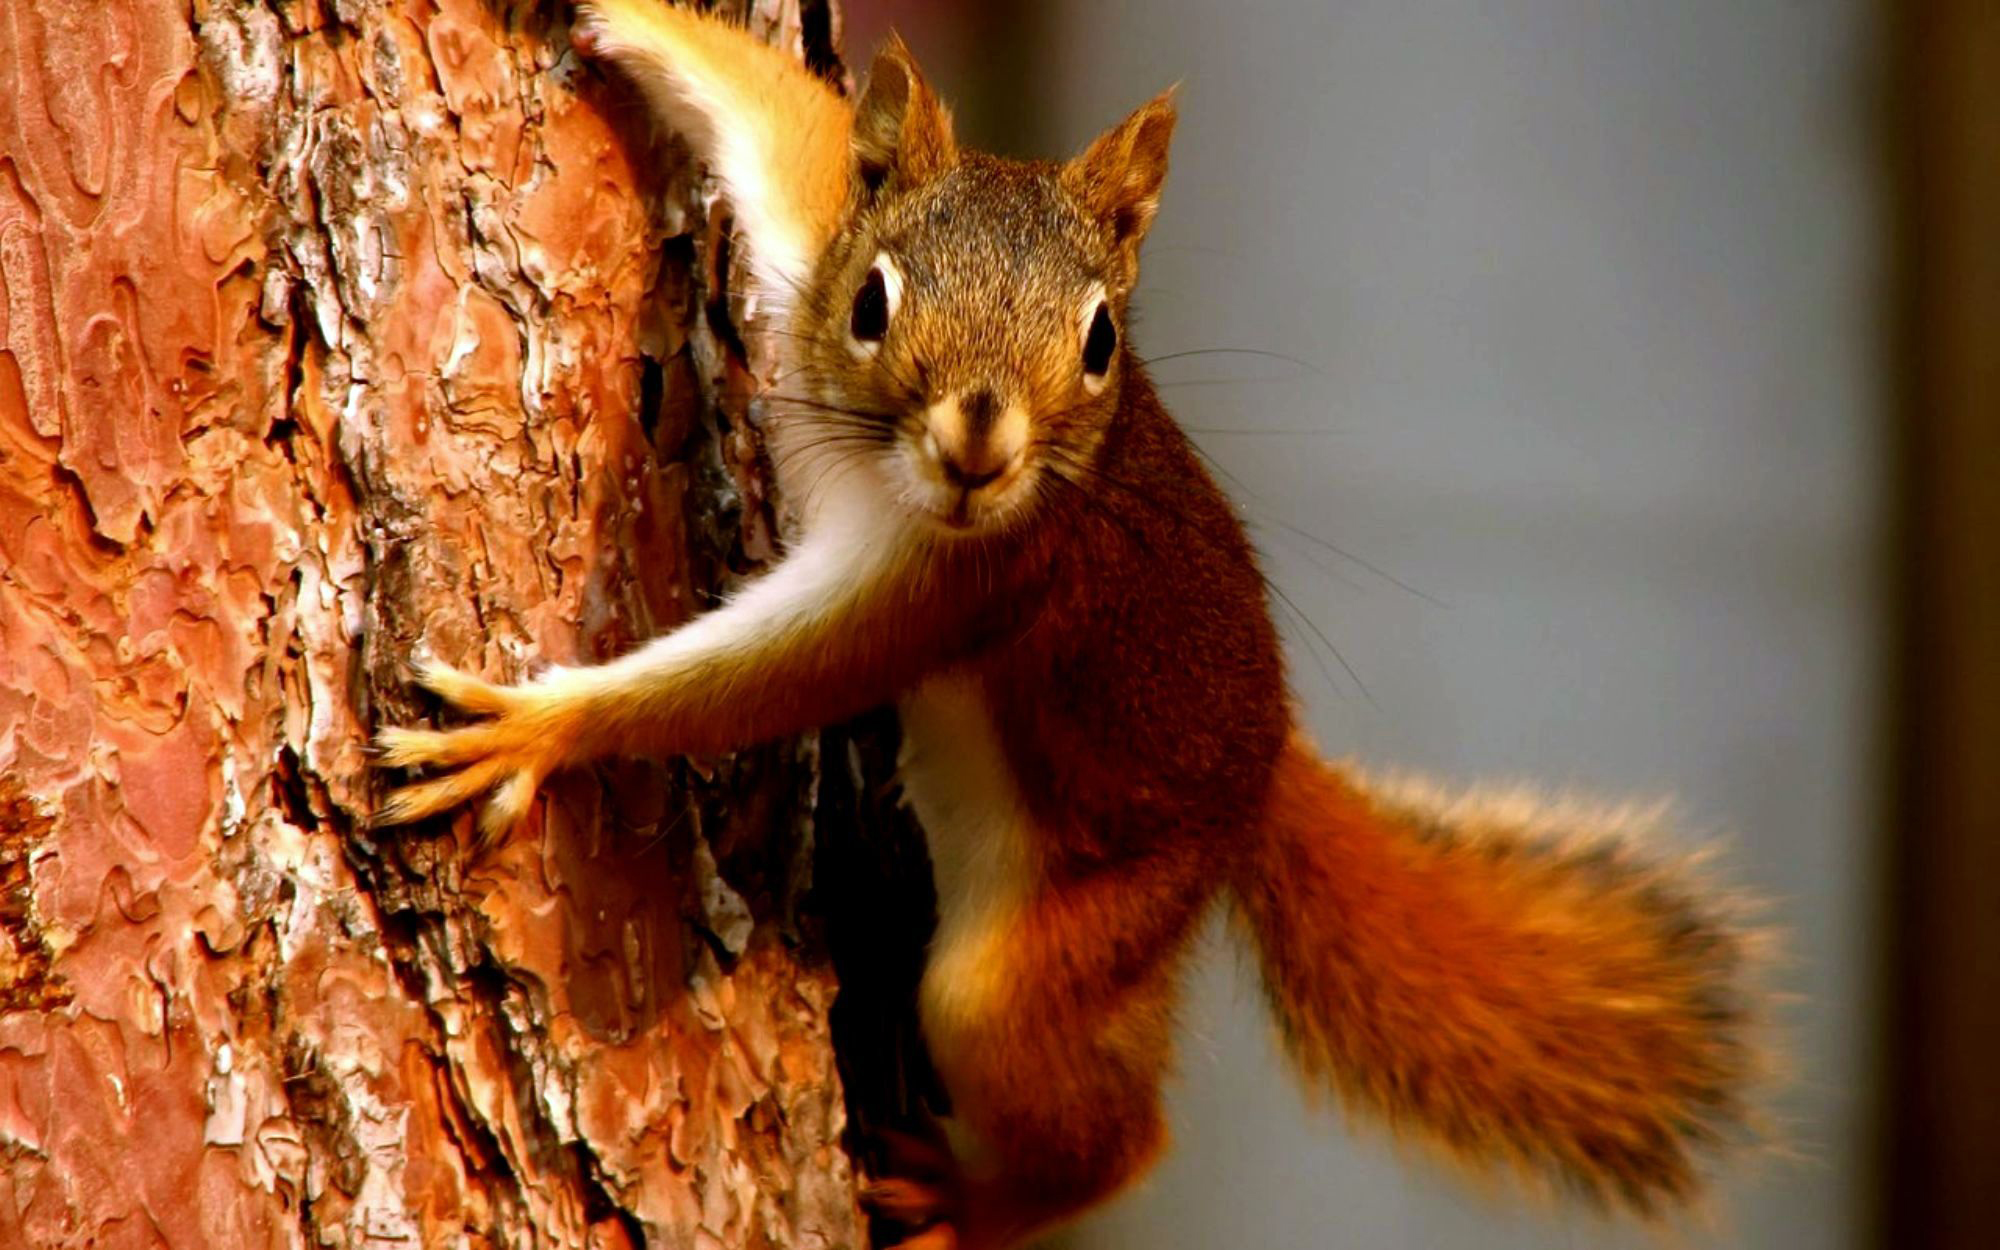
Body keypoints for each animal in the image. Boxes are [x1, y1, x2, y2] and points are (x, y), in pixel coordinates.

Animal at [372, 4, 1752, 1240]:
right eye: (871, 302)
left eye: (1099, 338)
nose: (978, 446)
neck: (884, 472)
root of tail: (1262, 773)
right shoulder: (809, 246)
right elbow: (784, 124)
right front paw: (622, 17)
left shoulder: (963, 584)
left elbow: (767, 678)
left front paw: (535, 727)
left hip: (1066, 942)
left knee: (1106, 1128)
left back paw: (974, 1203)